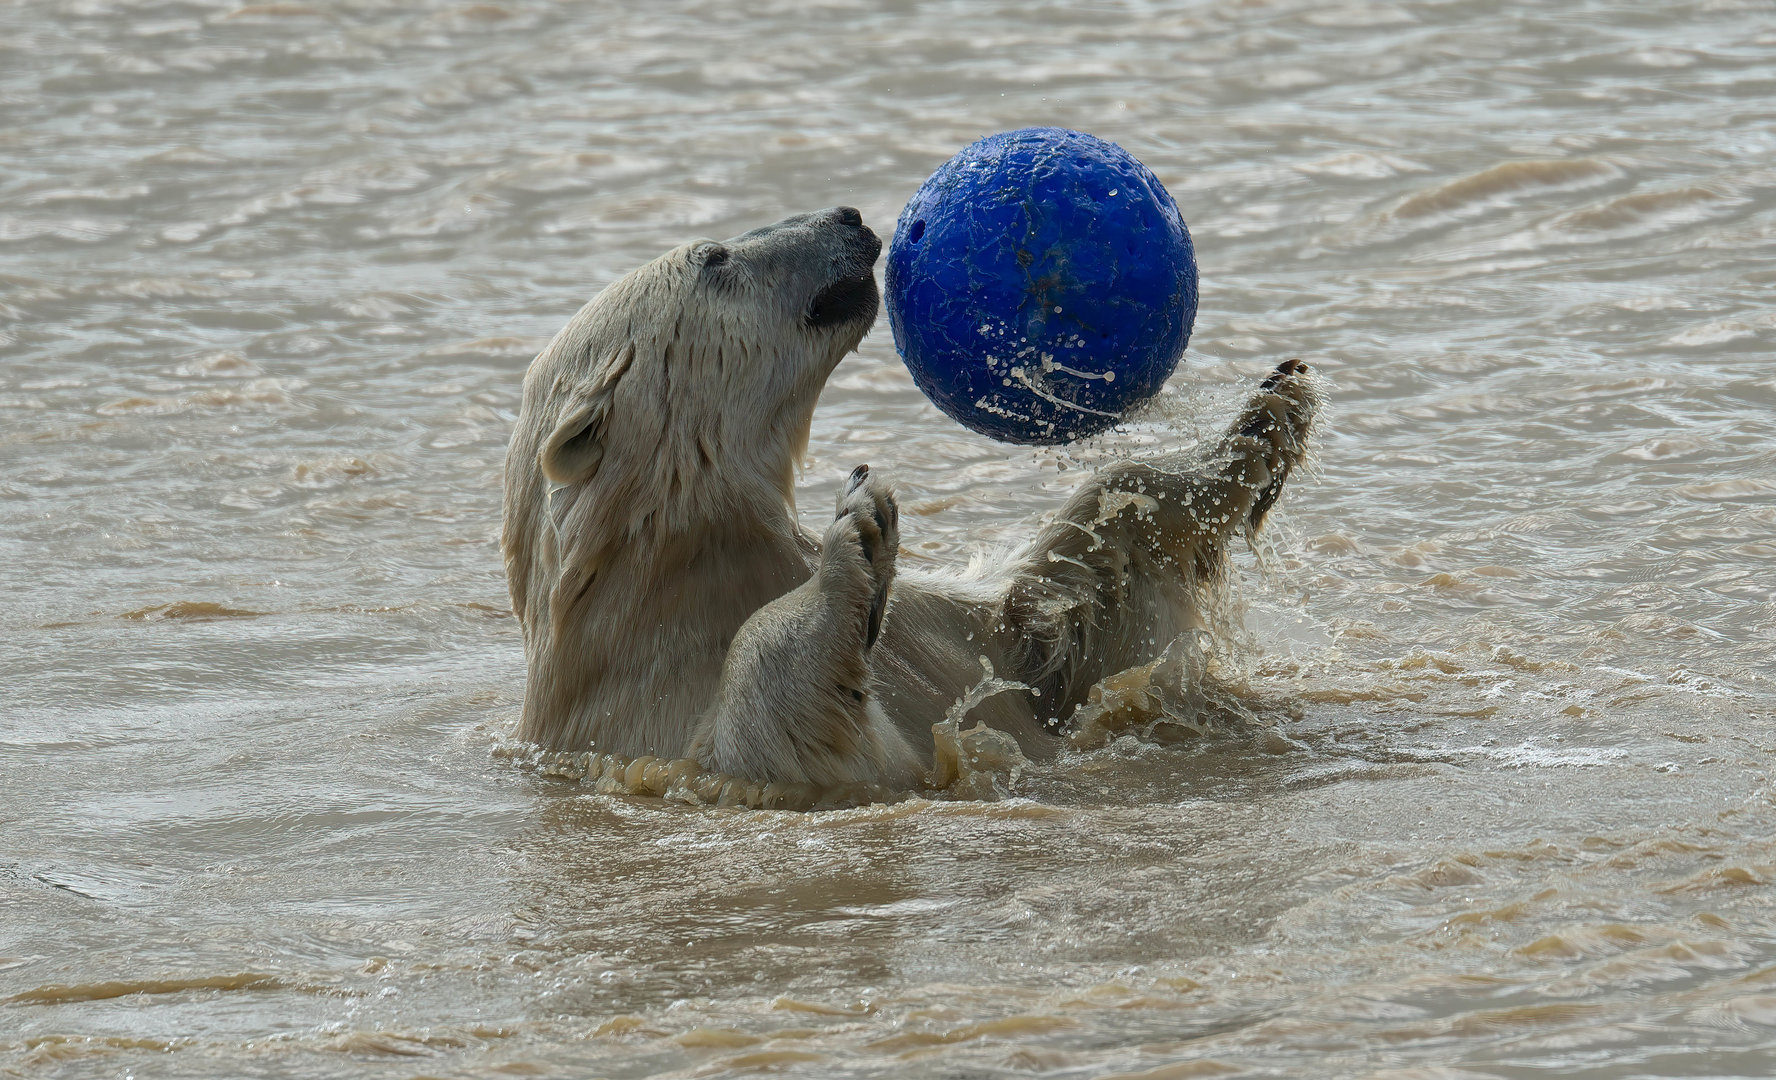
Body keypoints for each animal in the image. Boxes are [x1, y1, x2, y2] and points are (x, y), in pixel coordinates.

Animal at [501, 206, 1318, 790]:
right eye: (715, 258)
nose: (848, 216)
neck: (677, 568)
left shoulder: (946, 631)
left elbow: (1057, 634)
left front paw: (1258, 424)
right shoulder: (649, 720)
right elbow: (779, 747)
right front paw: (857, 533)